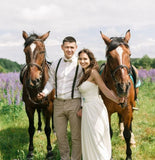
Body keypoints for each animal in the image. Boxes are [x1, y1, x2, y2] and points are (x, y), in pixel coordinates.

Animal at [21, 31, 54, 159]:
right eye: (25, 51)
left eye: (42, 51)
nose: (33, 80)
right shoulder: (29, 107)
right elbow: (31, 129)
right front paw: (30, 152)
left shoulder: (49, 106)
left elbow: (48, 129)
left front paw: (49, 151)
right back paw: (39, 127)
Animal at [99, 30, 138, 160]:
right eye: (109, 56)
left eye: (129, 55)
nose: (124, 87)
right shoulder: (107, 111)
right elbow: (109, 133)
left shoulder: (127, 109)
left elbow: (127, 133)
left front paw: (129, 155)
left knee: (130, 125)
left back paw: (132, 140)